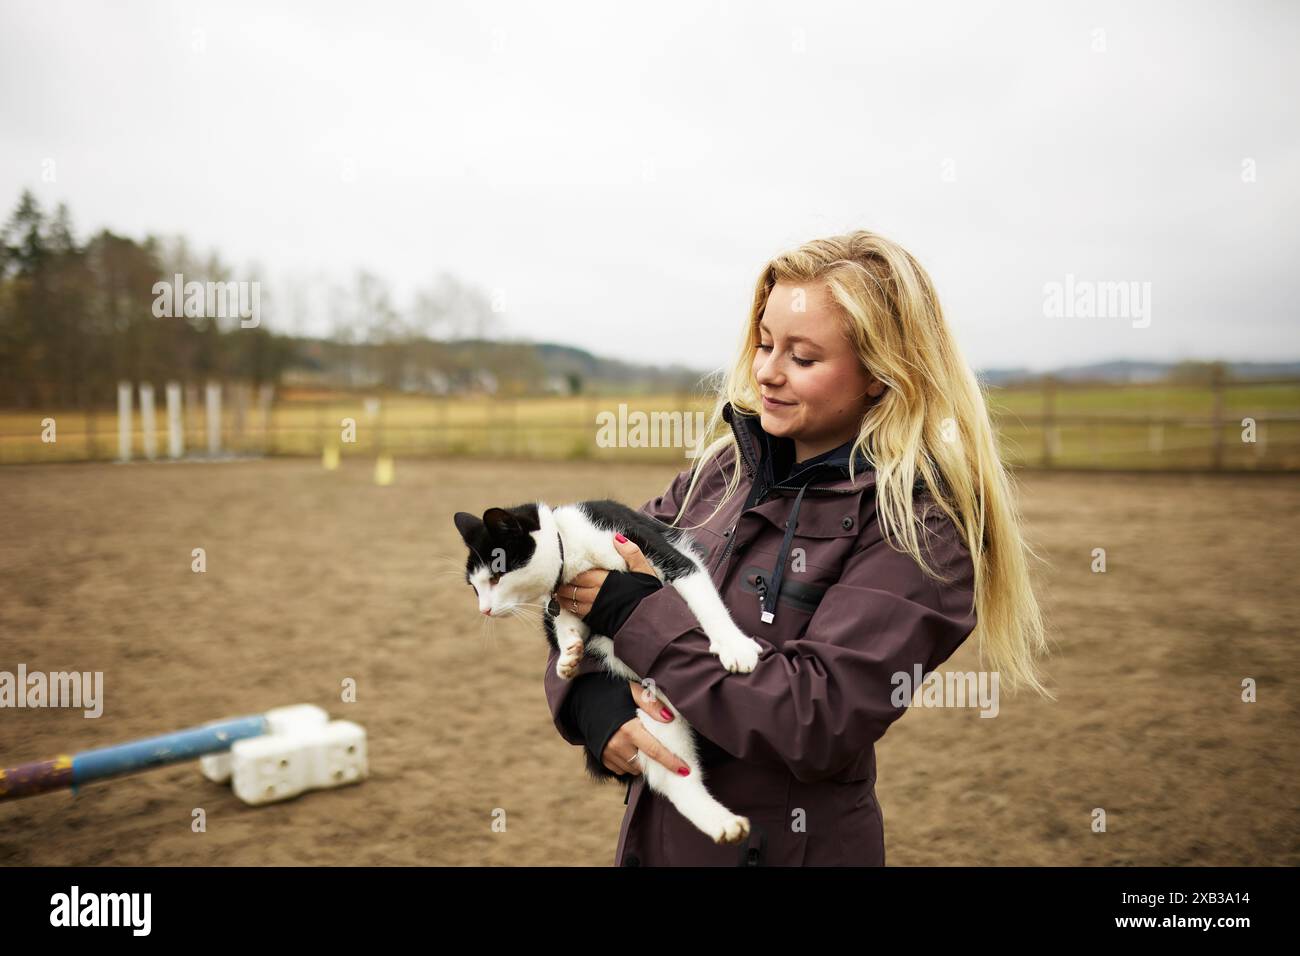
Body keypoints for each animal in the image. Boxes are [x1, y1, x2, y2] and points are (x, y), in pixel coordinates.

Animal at [454, 502, 759, 842]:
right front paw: (568, 653)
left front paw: (735, 646)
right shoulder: (566, 601)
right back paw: (723, 824)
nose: (484, 610)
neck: (569, 546)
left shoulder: (669, 557)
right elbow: (564, 620)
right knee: (674, 776)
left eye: (496, 576)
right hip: (653, 713)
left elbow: (704, 600)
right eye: (474, 587)